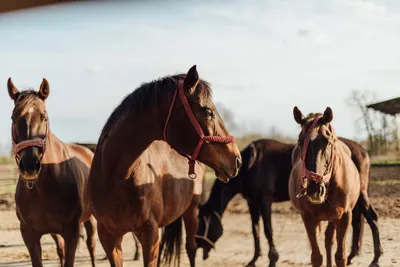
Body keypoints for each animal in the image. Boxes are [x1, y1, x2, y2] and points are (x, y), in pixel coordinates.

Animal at [7, 78, 97, 267]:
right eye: (13, 118)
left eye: (44, 117)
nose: (29, 165)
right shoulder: (29, 235)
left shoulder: (72, 232)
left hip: (91, 219)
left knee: (91, 245)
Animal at [88, 65, 242, 267]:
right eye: (208, 111)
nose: (237, 160)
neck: (117, 178)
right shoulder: (109, 237)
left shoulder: (149, 234)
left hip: (191, 211)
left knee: (191, 249)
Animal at [288, 107, 360, 267]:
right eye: (300, 142)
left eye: (328, 142)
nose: (314, 190)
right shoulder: (308, 218)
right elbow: (316, 257)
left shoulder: (344, 217)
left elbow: (340, 257)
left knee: (329, 241)